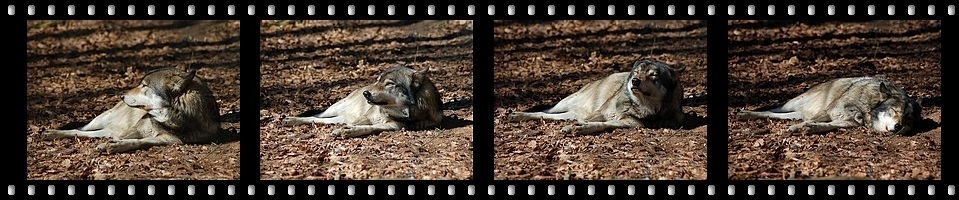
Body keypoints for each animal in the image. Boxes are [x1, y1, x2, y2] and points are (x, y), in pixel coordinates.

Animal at [506, 58, 688, 136]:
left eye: (653, 76)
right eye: (636, 73)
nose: (634, 81)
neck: (637, 105)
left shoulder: (631, 124)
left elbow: (600, 125)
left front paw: (578, 128)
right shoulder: (600, 112)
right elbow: (590, 121)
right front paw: (578, 126)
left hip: (569, 112)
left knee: (549, 116)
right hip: (565, 104)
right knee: (544, 112)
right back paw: (517, 115)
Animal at [736, 76, 924, 134]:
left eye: (907, 118)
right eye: (893, 110)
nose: (899, 126)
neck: (864, 110)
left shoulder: (848, 123)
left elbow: (827, 126)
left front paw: (811, 128)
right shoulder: (827, 111)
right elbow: (810, 121)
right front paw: (798, 128)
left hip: (795, 113)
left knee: (774, 114)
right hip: (792, 104)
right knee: (771, 110)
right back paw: (746, 113)